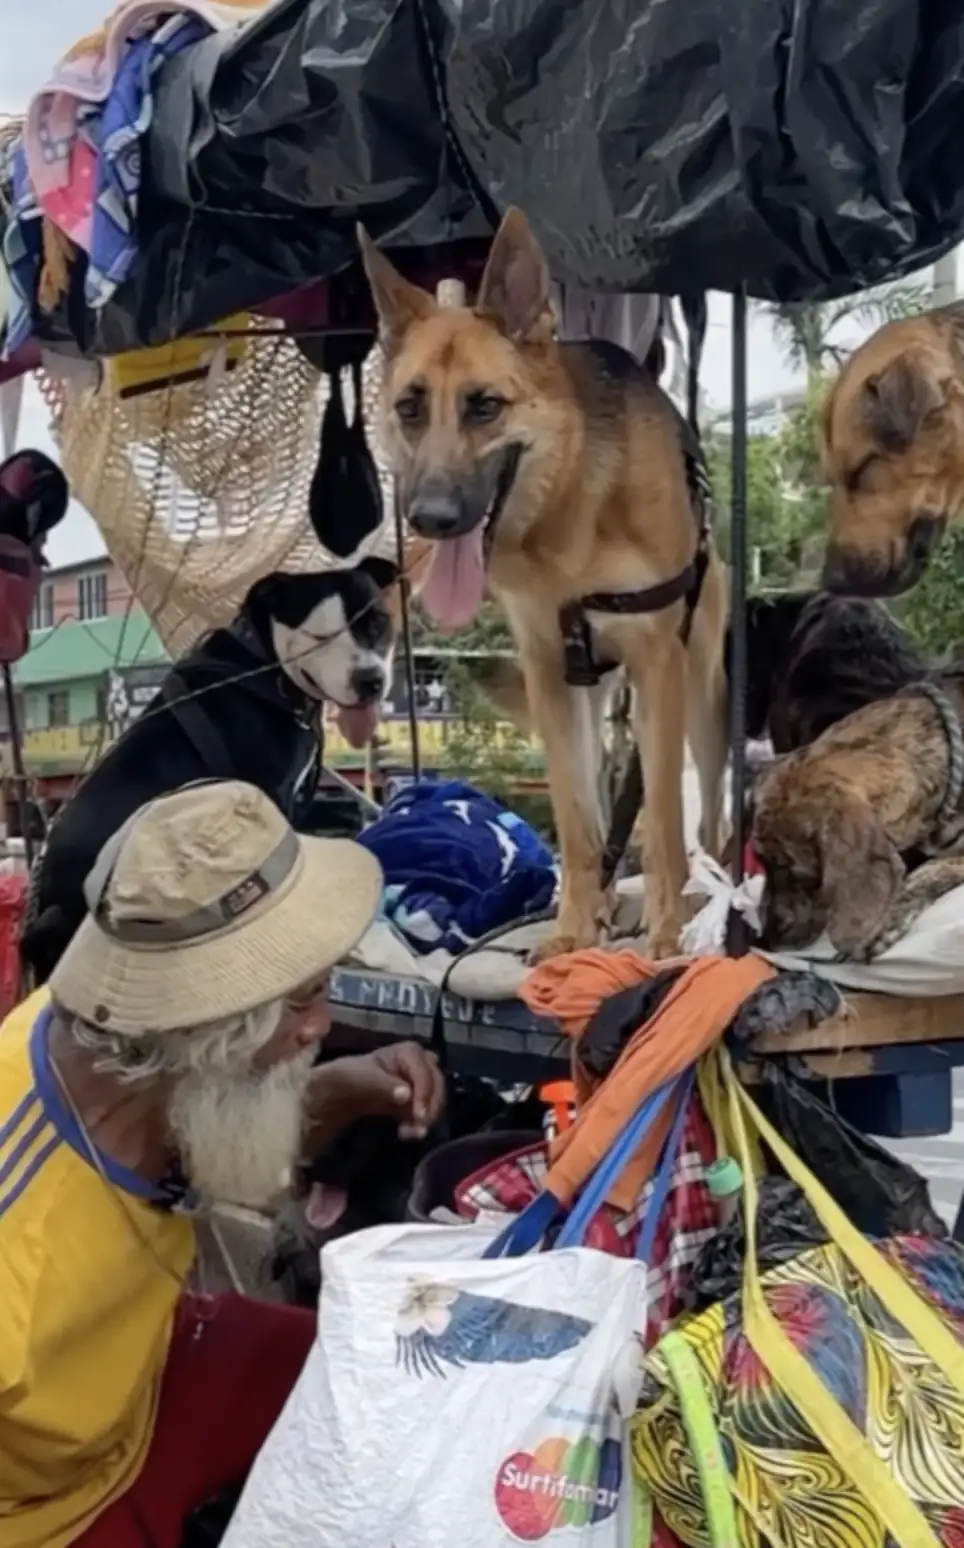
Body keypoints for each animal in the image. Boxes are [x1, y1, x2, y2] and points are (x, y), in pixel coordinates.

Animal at [358, 209, 729, 960]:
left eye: (485, 407)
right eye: (410, 409)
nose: (430, 518)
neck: (571, 505)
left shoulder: (660, 664)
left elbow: (665, 825)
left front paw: (666, 937)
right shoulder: (549, 671)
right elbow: (577, 823)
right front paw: (575, 931)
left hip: (700, 692)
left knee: (703, 821)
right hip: (591, 699)